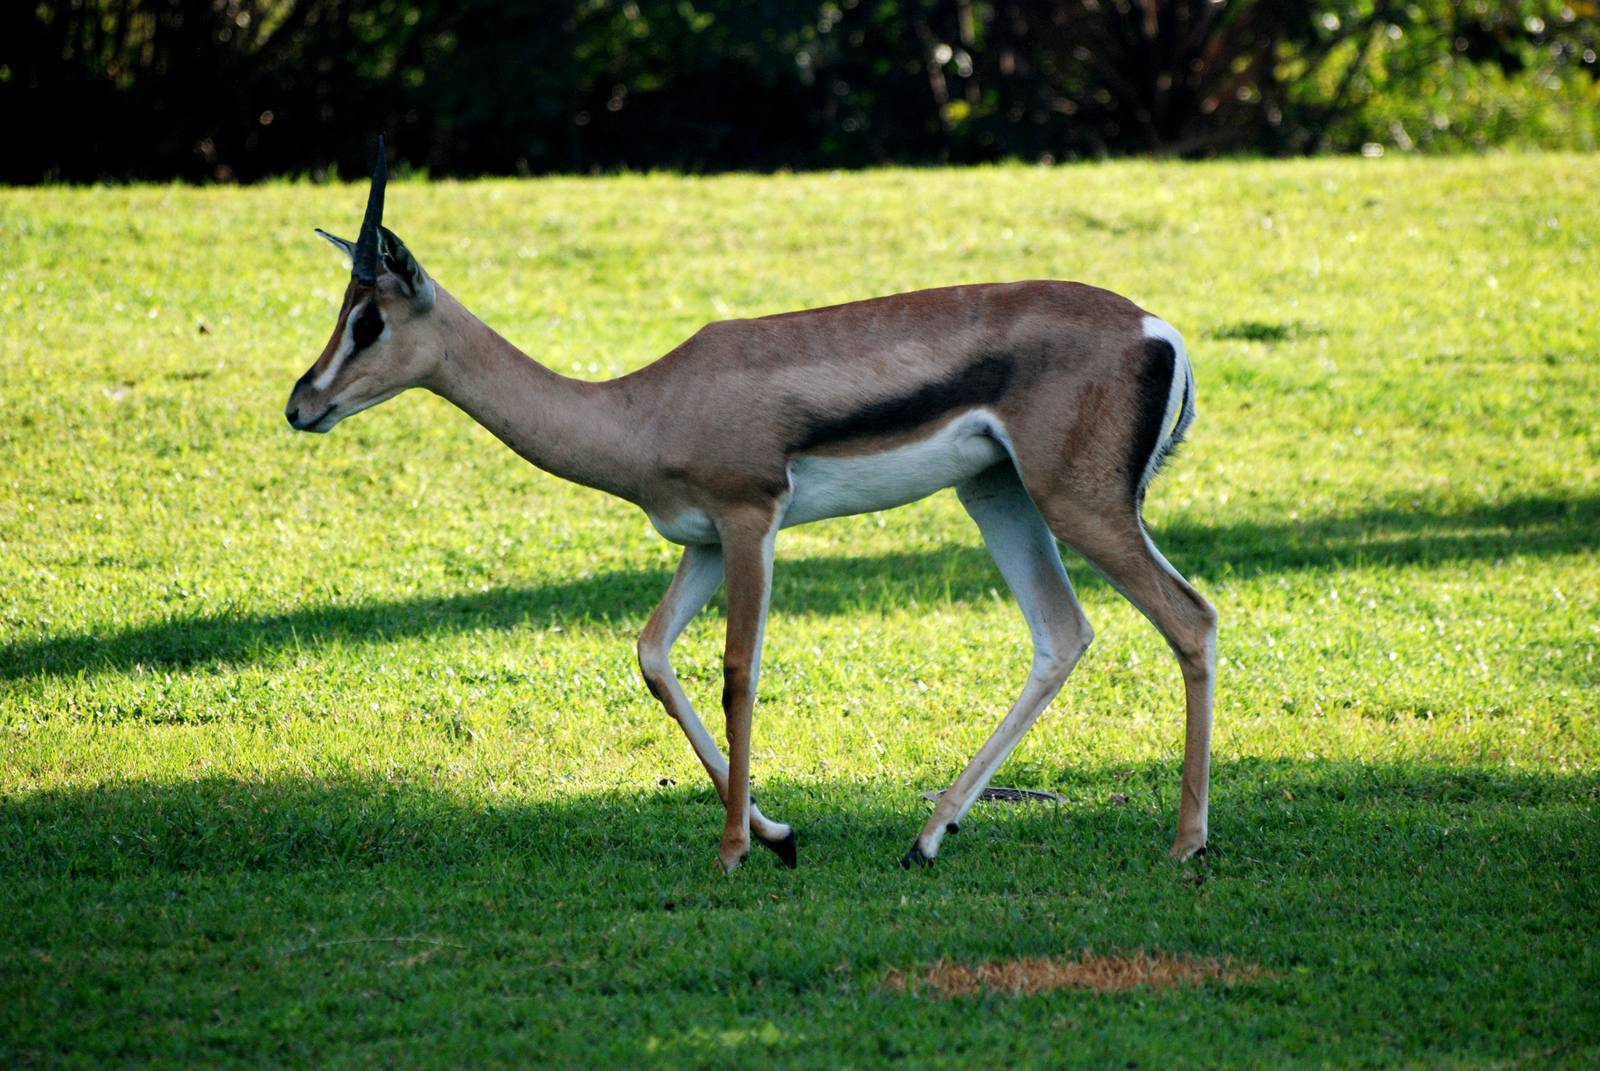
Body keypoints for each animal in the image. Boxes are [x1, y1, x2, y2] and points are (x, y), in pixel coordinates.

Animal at [286, 140, 1216, 873]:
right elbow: (653, 654)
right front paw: (778, 834)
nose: (302, 404)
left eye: (369, 321)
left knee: (1191, 618)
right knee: (1063, 632)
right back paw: (926, 837)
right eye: (341, 311)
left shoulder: (749, 520)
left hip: (1077, 504)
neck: (645, 407)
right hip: (997, 494)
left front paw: (735, 847)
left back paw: (1185, 842)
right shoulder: (698, 540)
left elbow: (739, 672)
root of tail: (1157, 328)